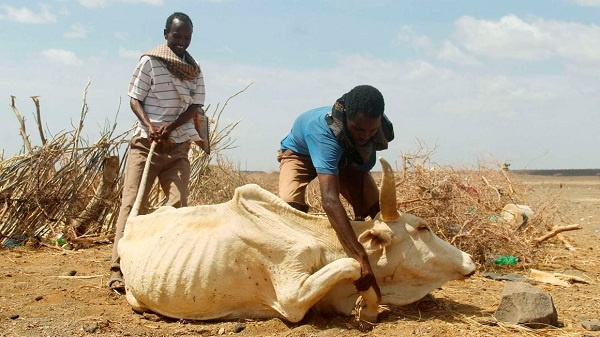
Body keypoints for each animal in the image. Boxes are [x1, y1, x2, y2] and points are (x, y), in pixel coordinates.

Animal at [119, 157, 476, 320]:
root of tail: (132, 226)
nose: (470, 261)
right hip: (134, 297)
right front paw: (371, 308)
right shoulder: (291, 298)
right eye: (422, 227)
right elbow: (352, 266)